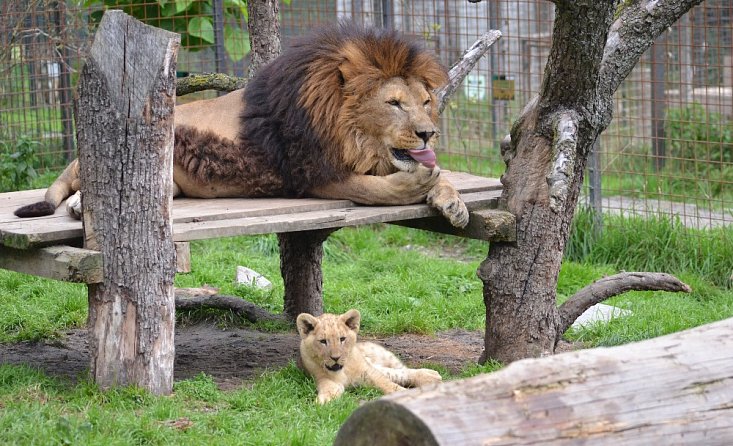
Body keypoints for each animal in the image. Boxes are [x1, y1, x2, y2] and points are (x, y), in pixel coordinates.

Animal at [15, 22, 468, 228]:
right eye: (393, 104)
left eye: (426, 102)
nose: (428, 133)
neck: (351, 137)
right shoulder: (312, 174)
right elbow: (373, 189)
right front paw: (415, 185)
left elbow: (439, 177)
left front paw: (452, 200)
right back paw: (78, 204)